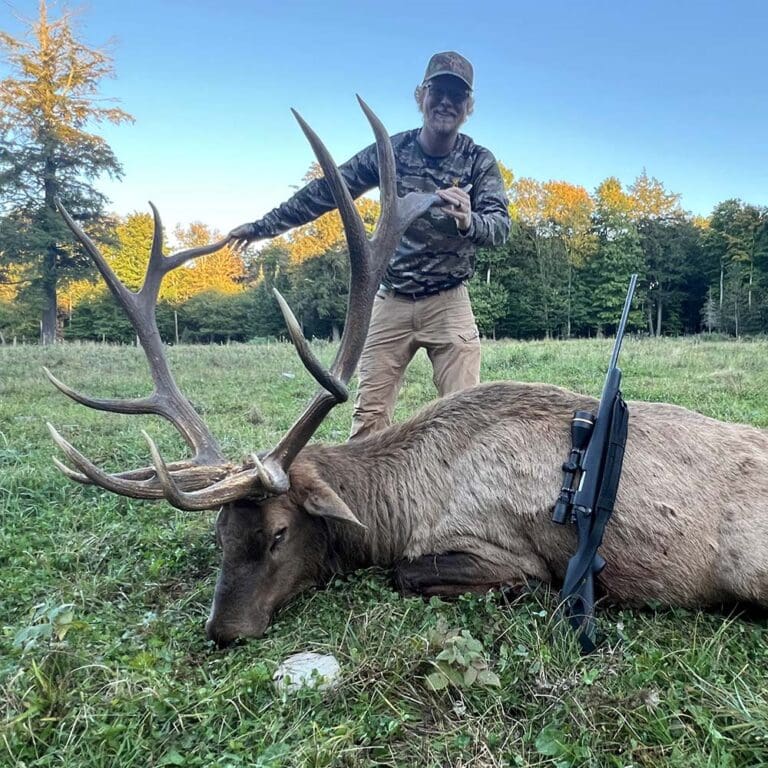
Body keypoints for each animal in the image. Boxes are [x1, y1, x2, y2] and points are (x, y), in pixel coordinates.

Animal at [46, 99, 768, 647]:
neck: (400, 505)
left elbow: (410, 574)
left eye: (279, 532)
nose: (224, 630)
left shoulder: (498, 547)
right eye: (220, 532)